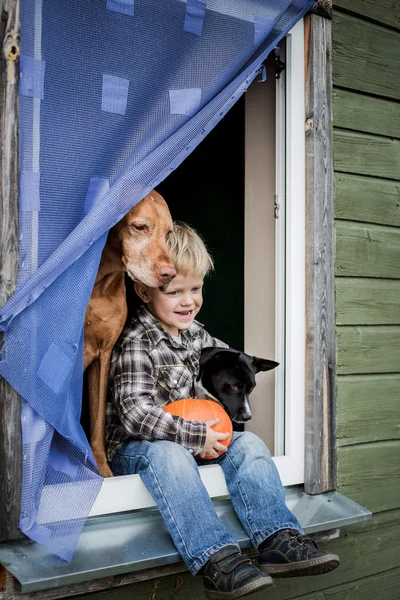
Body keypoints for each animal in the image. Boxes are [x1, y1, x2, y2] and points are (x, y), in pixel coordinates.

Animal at [84, 192, 175, 478]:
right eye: (139, 227)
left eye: (169, 233)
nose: (170, 275)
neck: (97, 284)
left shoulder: (103, 354)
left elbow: (98, 424)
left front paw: (103, 471)